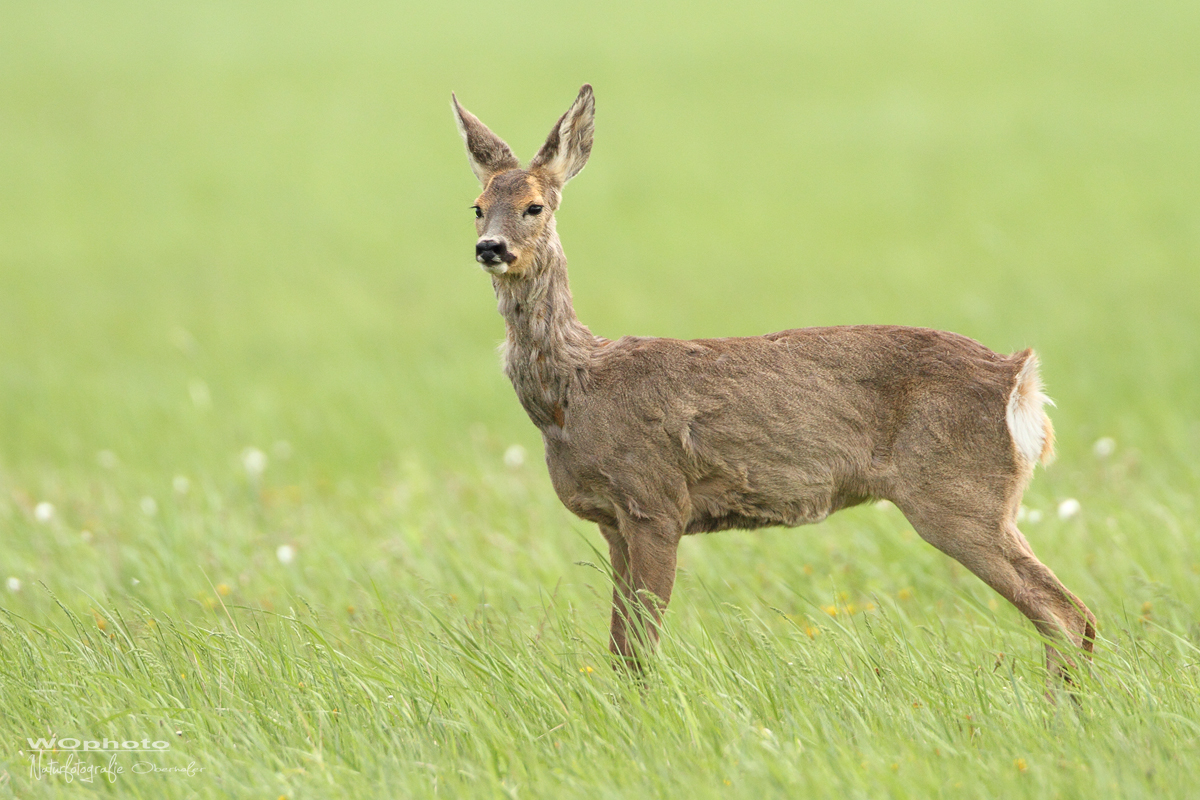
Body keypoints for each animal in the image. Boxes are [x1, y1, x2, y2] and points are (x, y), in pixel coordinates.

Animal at [451, 86, 1099, 681]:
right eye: (477, 206)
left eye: (535, 206)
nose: (490, 248)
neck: (574, 391)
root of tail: (1020, 381)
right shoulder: (615, 520)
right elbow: (619, 652)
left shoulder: (657, 501)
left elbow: (640, 653)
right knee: (1070, 615)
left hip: (959, 496)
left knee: (1065, 613)